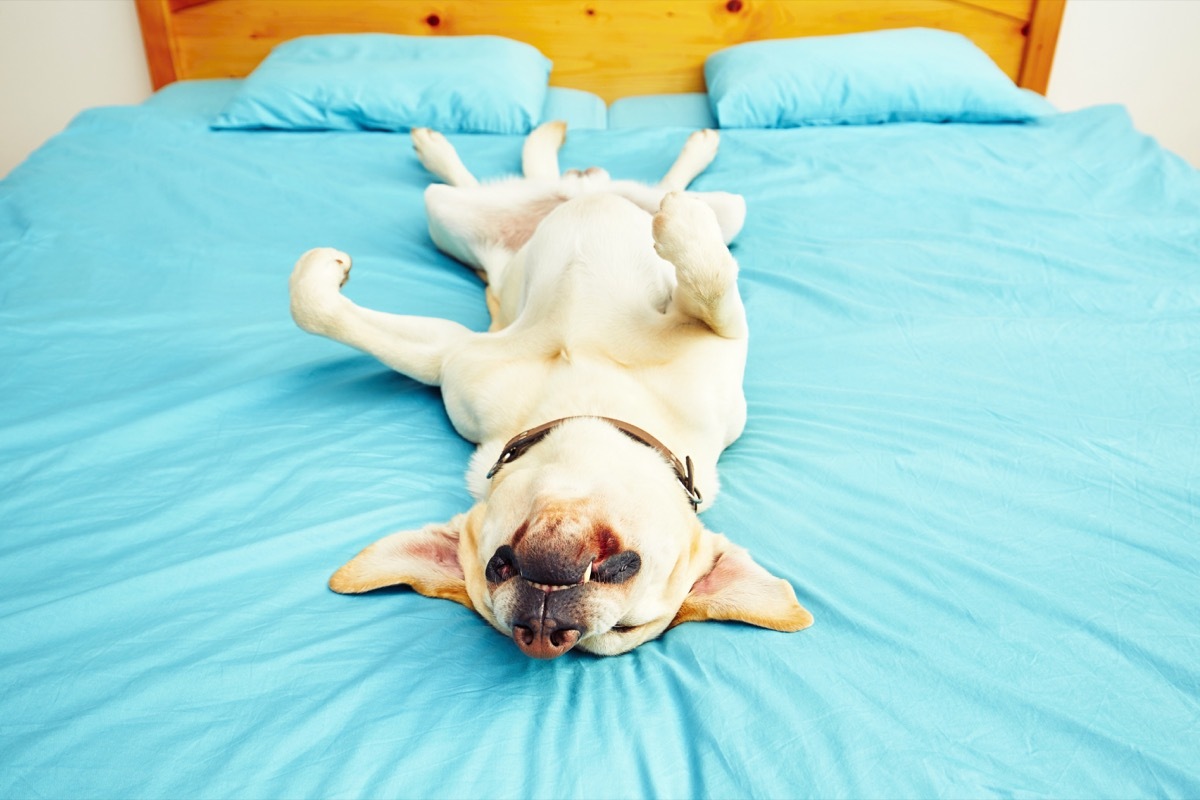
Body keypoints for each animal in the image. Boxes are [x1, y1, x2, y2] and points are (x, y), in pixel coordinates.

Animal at [290, 120, 816, 657]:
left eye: (623, 630)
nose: (544, 633)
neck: (588, 405)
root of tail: (583, 187)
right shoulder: (453, 357)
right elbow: (313, 307)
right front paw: (323, 272)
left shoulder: (718, 339)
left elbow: (712, 284)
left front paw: (683, 226)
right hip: (447, 217)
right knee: (482, 185)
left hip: (729, 210)